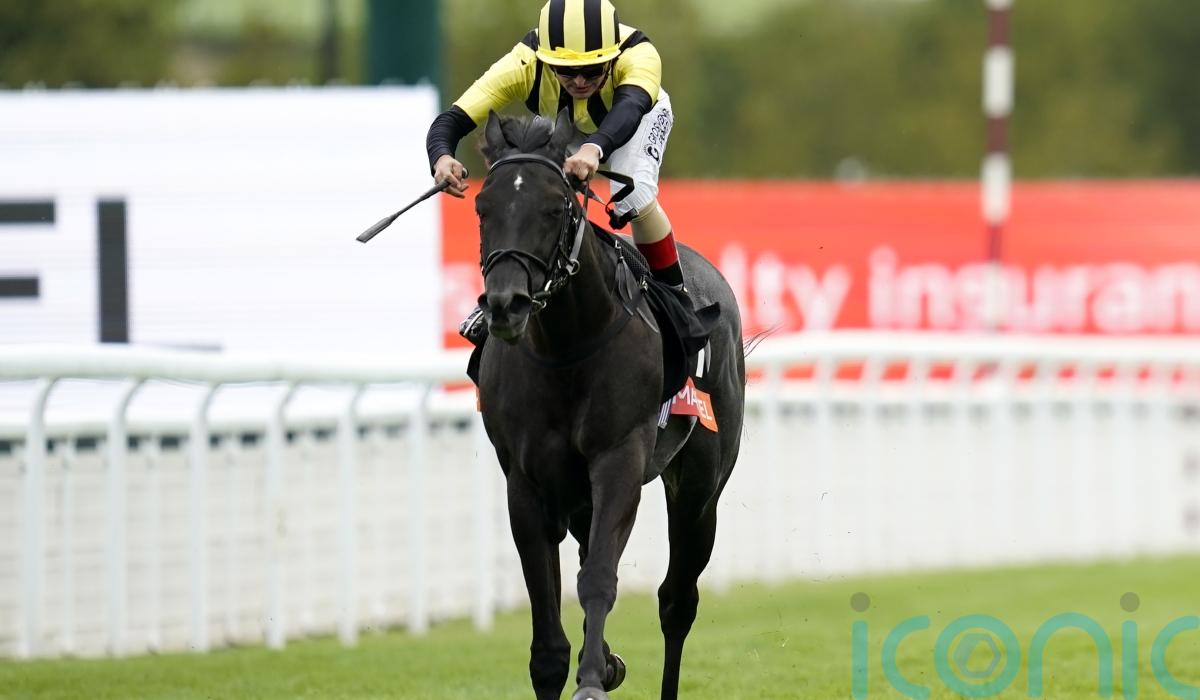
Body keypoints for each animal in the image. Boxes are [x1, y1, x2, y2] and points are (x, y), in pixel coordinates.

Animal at [473, 109, 745, 700]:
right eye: (483, 208)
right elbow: (546, 614)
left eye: (555, 208)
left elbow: (598, 575)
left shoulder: (618, 459)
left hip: (700, 489)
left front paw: (594, 678)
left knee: (677, 600)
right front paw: (584, 664)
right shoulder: (526, 481)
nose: (506, 304)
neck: (566, 348)